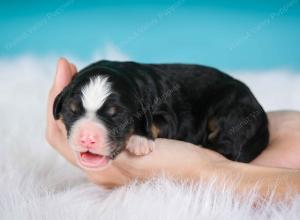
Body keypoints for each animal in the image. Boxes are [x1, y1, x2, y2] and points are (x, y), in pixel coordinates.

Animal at [53, 60, 270, 170]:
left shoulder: (170, 116)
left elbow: (154, 122)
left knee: (229, 146)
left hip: (233, 111)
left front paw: (140, 140)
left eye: (117, 116)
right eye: (72, 111)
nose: (87, 138)